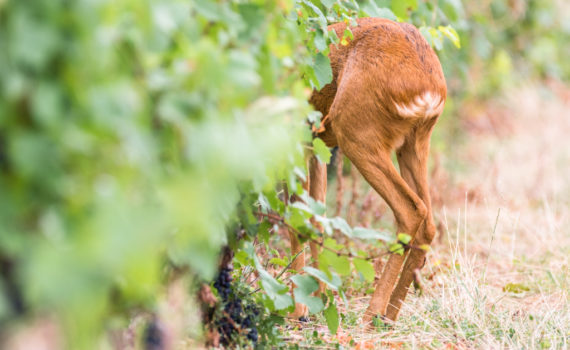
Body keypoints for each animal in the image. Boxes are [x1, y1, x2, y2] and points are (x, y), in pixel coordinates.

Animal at [288, 18, 444, 326]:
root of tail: (430, 90)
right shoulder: (315, 148)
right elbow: (315, 218)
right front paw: (318, 300)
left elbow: (296, 218)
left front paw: (297, 311)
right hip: (416, 141)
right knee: (429, 222)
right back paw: (390, 314)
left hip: (356, 129)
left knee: (411, 210)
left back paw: (372, 314)